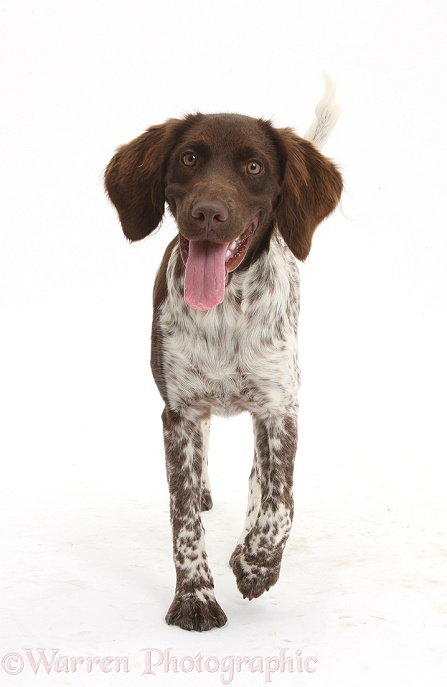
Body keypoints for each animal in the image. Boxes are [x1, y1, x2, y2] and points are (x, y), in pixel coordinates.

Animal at [105, 79, 344, 628]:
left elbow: (280, 503)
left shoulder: (280, 409)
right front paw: (195, 596)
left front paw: (255, 564)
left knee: (262, 481)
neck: (224, 312)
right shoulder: (179, 414)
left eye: (254, 166)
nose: (208, 213)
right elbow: (184, 519)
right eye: (189, 158)